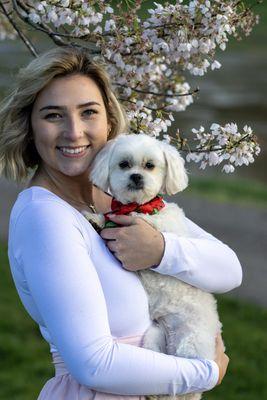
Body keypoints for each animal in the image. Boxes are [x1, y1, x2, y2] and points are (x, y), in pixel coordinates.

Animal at [84, 134, 222, 400]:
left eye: (150, 166)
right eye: (124, 164)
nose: (136, 177)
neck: (140, 206)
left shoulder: (153, 227)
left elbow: (123, 221)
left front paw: (104, 221)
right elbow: (108, 217)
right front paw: (95, 219)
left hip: (191, 345)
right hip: (154, 337)